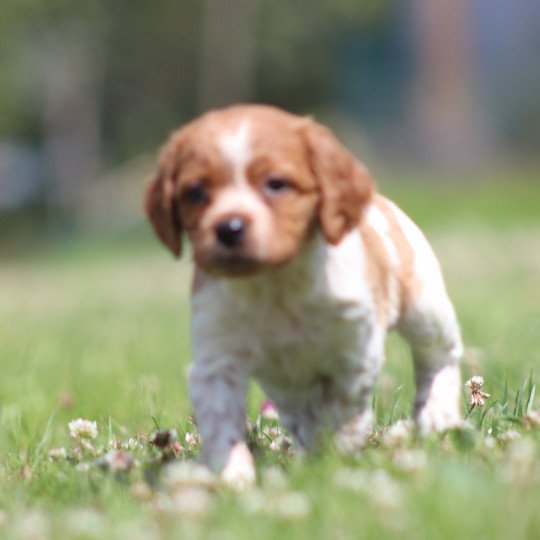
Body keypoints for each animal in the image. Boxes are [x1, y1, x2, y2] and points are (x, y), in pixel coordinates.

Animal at [144, 103, 464, 488]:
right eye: (194, 192)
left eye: (276, 184)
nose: (229, 228)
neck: (276, 284)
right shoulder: (218, 360)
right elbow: (222, 424)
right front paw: (233, 476)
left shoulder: (354, 351)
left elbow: (343, 411)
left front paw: (337, 454)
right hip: (283, 384)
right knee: (300, 412)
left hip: (423, 305)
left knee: (439, 353)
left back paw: (437, 414)